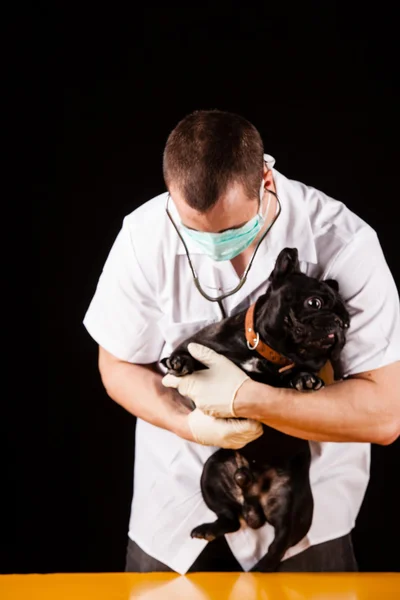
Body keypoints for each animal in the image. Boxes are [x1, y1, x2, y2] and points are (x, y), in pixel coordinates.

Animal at [161, 248, 348, 572]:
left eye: (348, 323)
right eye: (315, 302)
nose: (339, 323)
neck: (263, 351)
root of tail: (253, 503)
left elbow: (291, 374)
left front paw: (304, 379)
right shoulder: (198, 345)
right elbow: (187, 353)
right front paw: (180, 363)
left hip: (295, 506)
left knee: (279, 542)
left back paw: (261, 569)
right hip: (212, 473)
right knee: (230, 520)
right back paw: (210, 529)